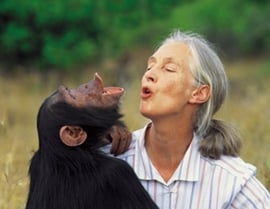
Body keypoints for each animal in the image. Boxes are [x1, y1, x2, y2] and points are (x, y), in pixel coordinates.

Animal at [25, 73, 158, 209]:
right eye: (73, 97)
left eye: (69, 90)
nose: (85, 85)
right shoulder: (118, 173)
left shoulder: (36, 161)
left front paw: (116, 131)